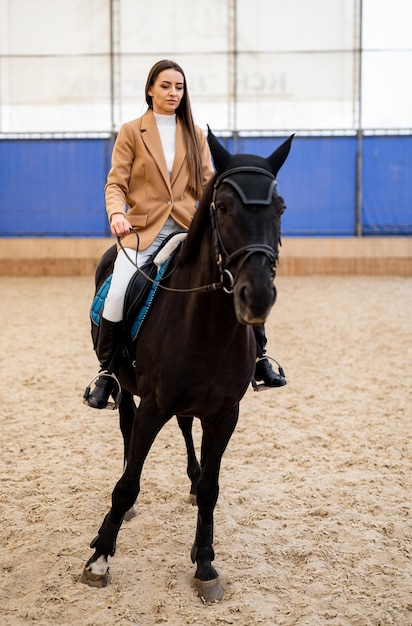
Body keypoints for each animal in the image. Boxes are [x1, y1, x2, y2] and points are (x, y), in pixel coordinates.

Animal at [80, 127, 292, 600]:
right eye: (224, 207)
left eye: (280, 208)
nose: (257, 297)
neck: (209, 329)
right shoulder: (154, 404)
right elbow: (127, 485)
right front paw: (100, 558)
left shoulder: (225, 413)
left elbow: (213, 488)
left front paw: (206, 564)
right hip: (127, 387)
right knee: (126, 424)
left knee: (184, 425)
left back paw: (192, 483)